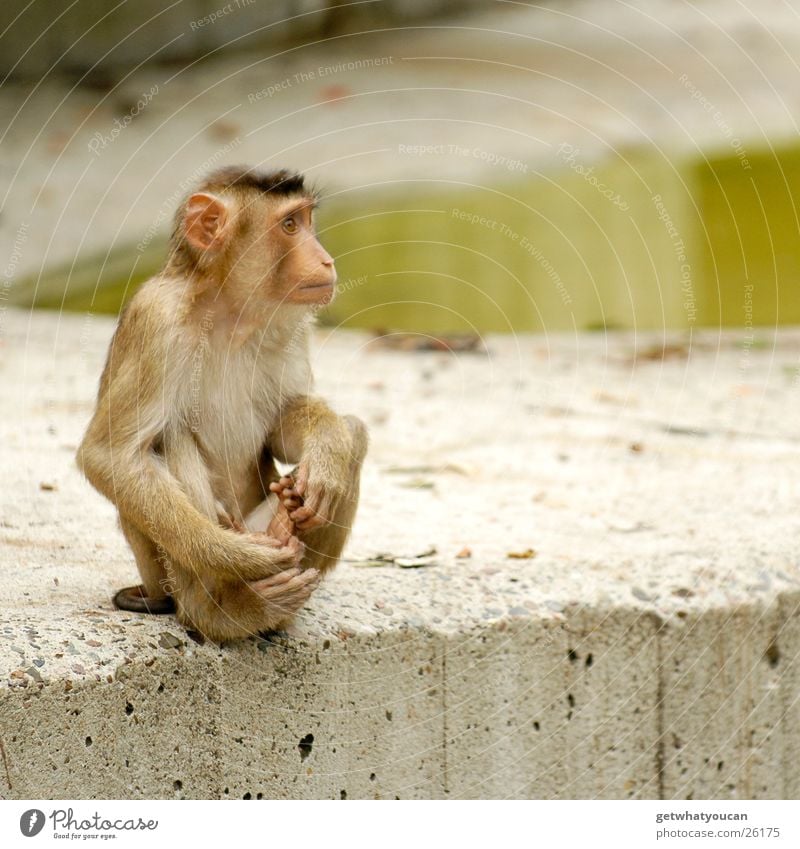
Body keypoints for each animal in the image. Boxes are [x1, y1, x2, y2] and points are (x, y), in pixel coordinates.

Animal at [76, 166, 370, 640]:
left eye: (306, 219)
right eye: (290, 225)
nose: (326, 260)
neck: (231, 314)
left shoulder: (290, 326)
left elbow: (284, 426)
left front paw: (325, 450)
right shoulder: (157, 320)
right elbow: (109, 455)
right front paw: (235, 556)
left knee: (354, 432)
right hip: (166, 577)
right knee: (169, 436)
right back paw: (227, 609)